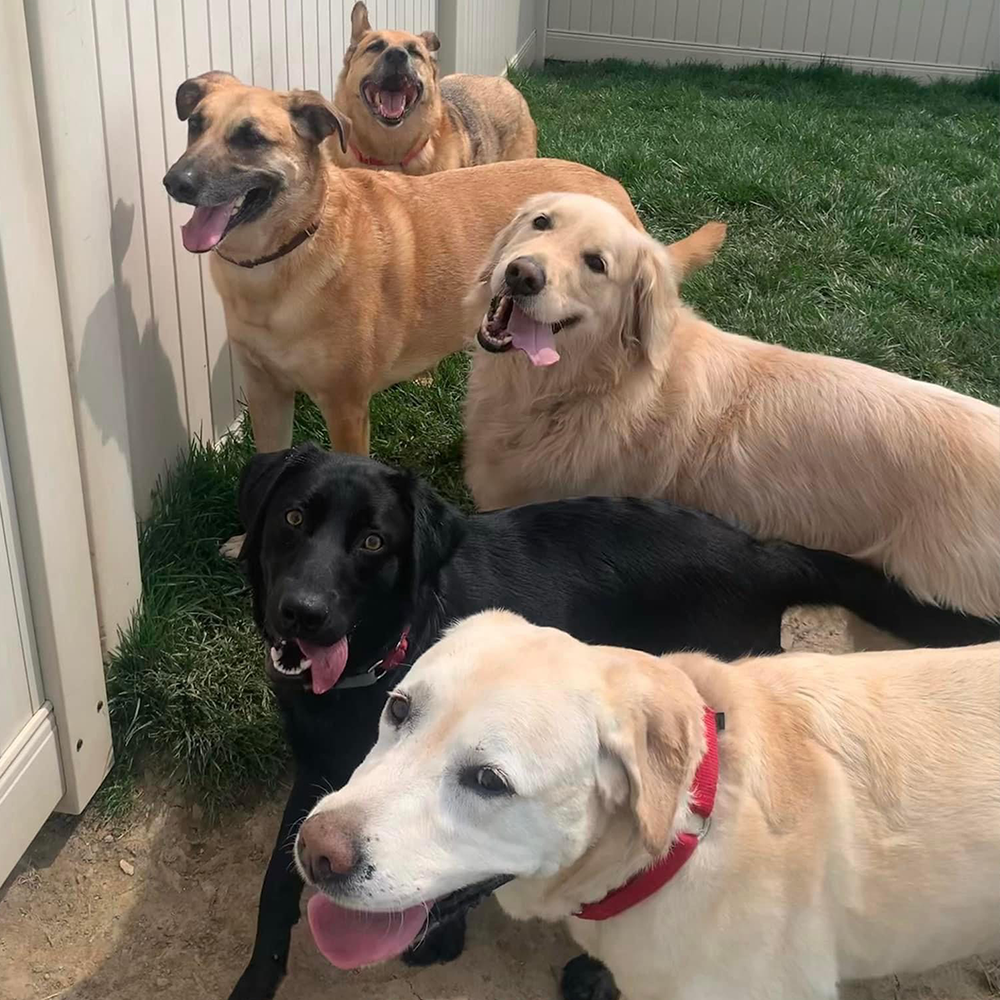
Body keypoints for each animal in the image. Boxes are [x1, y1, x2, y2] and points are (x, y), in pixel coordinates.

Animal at [161, 75, 636, 460]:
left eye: (251, 138)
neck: (290, 249)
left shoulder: (346, 408)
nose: (175, 182)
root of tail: (610, 184)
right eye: (195, 125)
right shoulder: (266, 392)